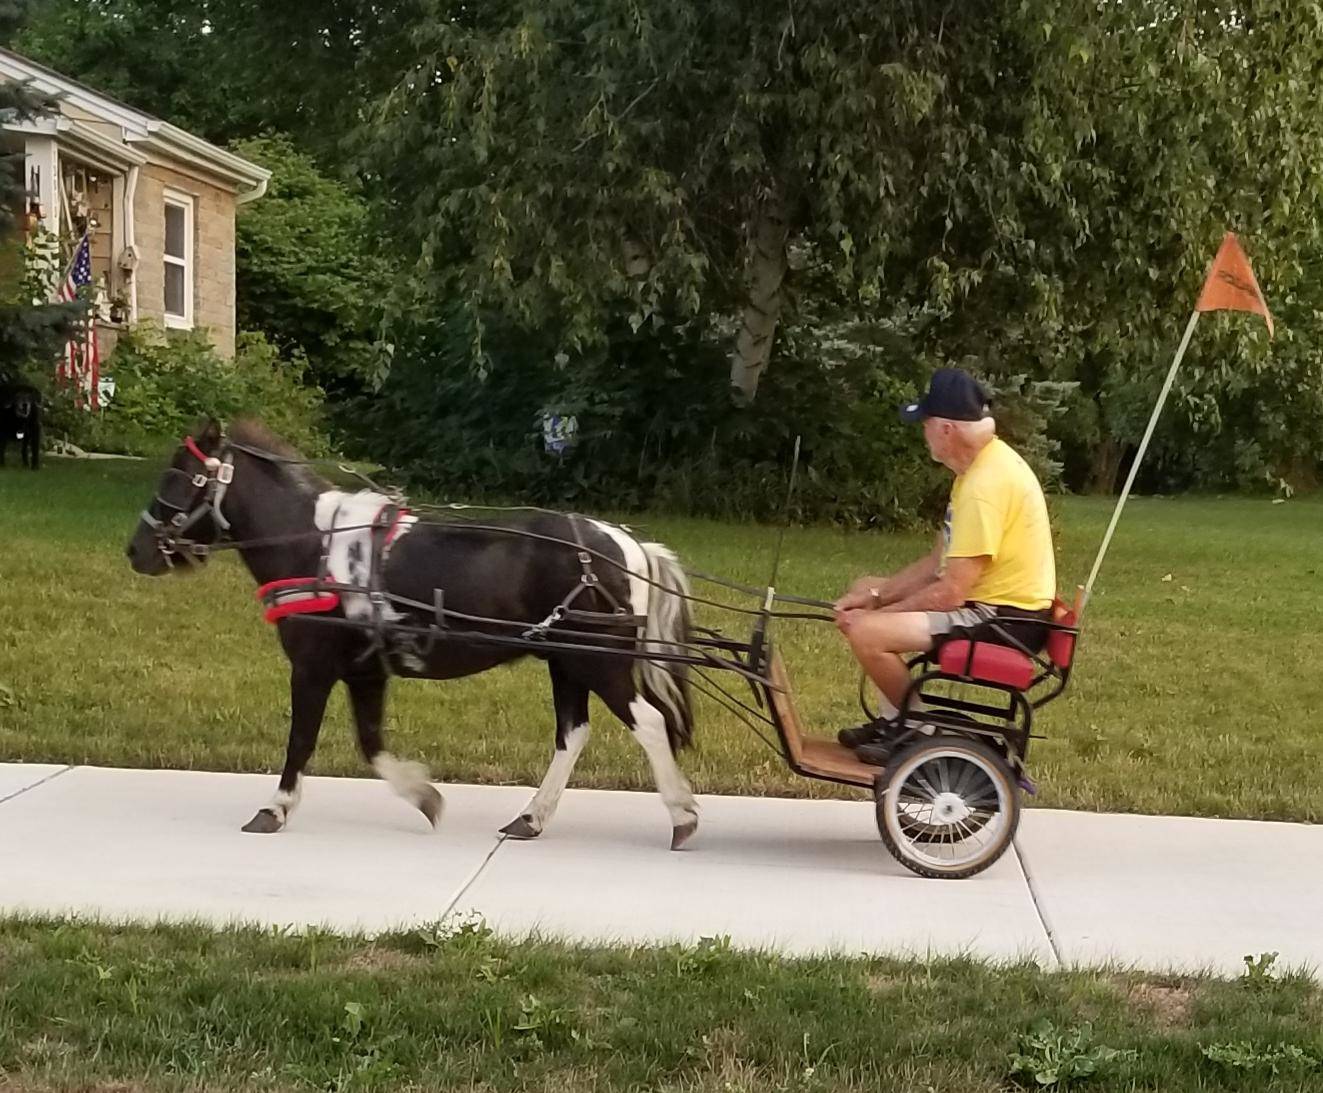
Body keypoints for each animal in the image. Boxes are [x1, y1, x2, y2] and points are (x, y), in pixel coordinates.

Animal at [125, 420, 703, 846]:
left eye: (179, 477)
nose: (136, 550)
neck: (315, 545)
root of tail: (629, 545)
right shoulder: (365, 671)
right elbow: (371, 744)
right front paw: (425, 797)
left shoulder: (312, 666)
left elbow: (302, 739)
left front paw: (275, 808)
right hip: (566, 659)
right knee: (572, 734)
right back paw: (531, 818)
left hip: (597, 659)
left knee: (648, 723)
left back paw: (681, 815)